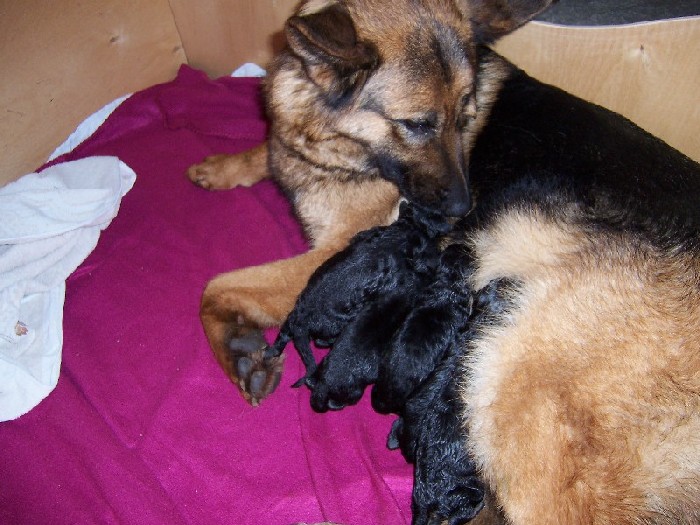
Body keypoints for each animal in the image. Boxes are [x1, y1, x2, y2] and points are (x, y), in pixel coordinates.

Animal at [268, 203, 448, 390]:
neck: (403, 235)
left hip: (289, 323)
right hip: (335, 325)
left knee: (281, 341)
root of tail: (301, 321)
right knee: (320, 341)